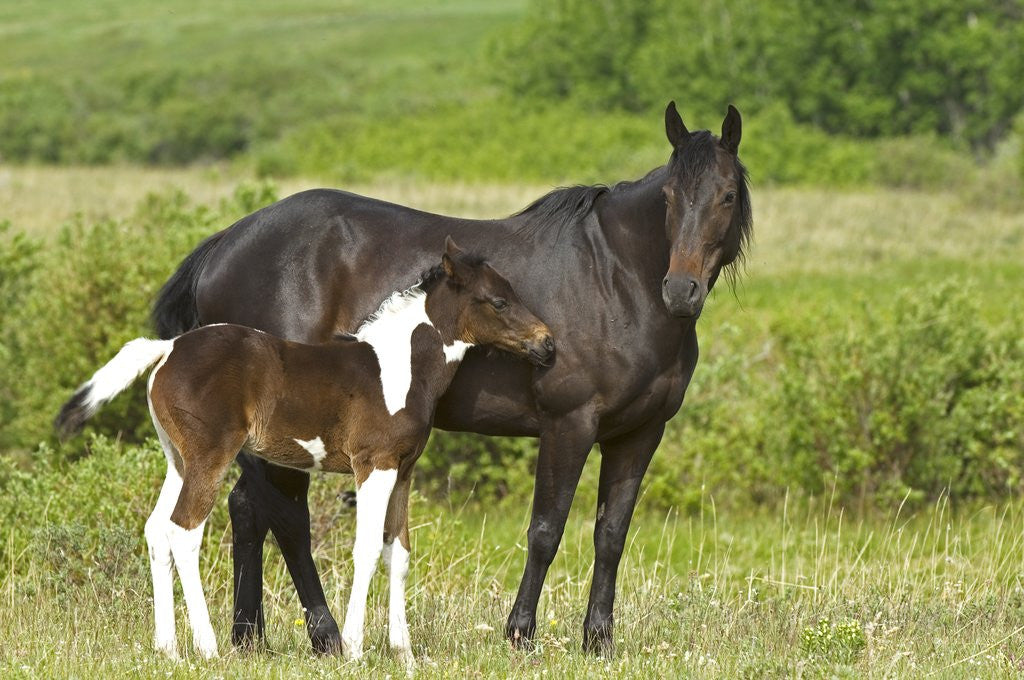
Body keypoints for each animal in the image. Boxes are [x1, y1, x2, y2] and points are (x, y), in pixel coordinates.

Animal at [56, 238, 554, 664]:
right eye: (498, 301)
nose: (547, 344)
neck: (400, 367)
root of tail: (168, 347)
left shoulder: (403, 469)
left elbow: (398, 552)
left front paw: (405, 654)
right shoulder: (373, 465)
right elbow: (367, 547)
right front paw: (354, 648)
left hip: (178, 460)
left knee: (157, 530)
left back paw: (169, 650)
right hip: (208, 457)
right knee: (184, 531)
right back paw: (208, 648)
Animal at [152, 101, 751, 654]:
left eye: (726, 196)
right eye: (669, 198)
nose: (681, 291)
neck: (616, 281)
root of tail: (226, 243)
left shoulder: (639, 434)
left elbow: (611, 533)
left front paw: (598, 640)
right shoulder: (569, 425)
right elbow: (546, 530)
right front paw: (520, 633)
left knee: (247, 509)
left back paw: (249, 635)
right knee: (287, 519)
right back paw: (324, 636)